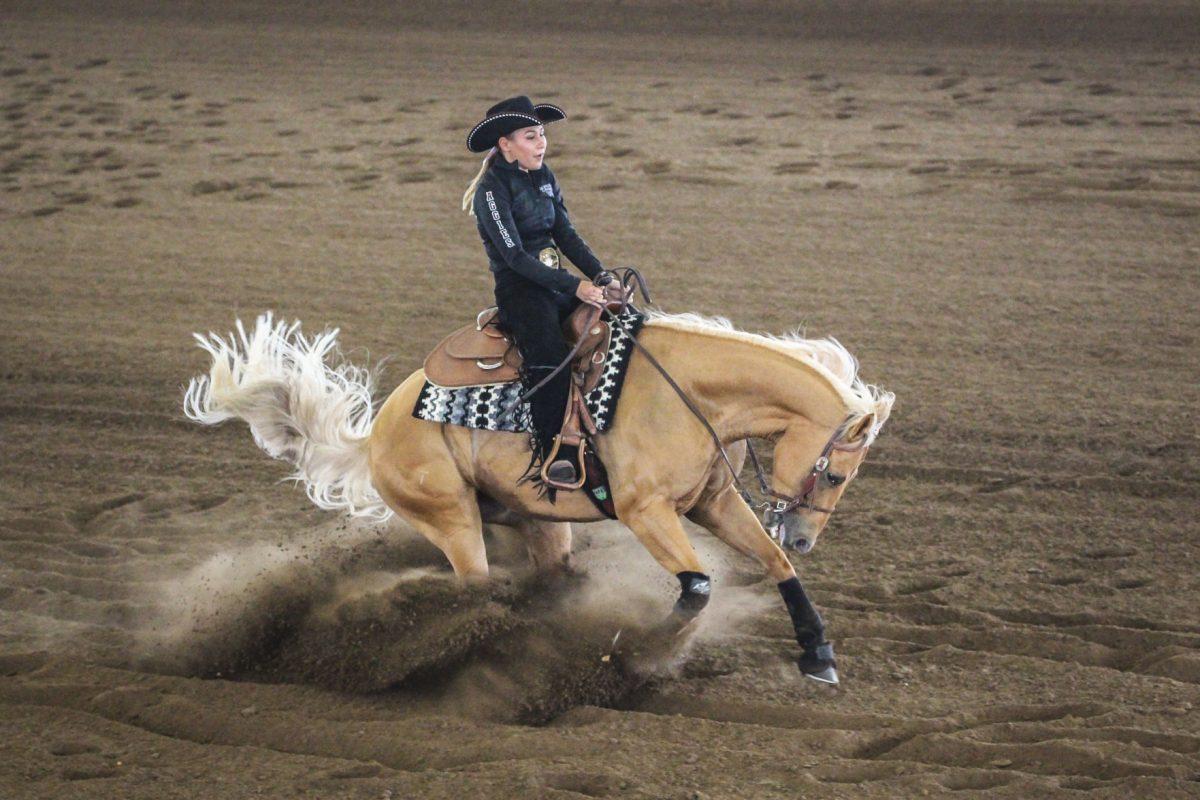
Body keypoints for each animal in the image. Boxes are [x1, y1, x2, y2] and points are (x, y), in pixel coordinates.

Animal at [184, 309, 892, 686]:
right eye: (837, 476)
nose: (804, 534)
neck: (691, 394)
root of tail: (375, 435)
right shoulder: (646, 513)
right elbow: (696, 589)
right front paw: (634, 654)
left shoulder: (710, 503)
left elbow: (776, 566)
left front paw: (819, 656)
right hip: (452, 520)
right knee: (475, 591)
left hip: (536, 522)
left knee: (540, 578)